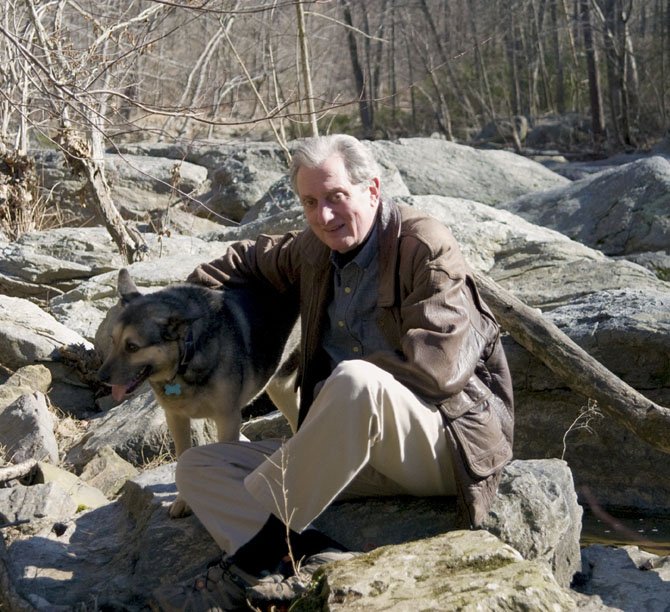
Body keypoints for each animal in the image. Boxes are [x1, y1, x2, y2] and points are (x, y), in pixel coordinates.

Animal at [97, 268, 300, 516]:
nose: (100, 378)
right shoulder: (176, 419)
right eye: (113, 340)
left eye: (132, 347)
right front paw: (183, 501)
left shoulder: (227, 419)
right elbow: (182, 458)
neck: (187, 355)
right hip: (279, 387)